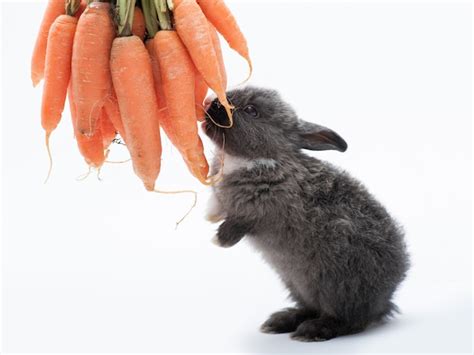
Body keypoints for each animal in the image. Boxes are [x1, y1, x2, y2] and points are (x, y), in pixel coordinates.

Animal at [202, 86, 410, 342]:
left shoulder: (260, 212)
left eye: (252, 110)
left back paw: (312, 330)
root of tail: (385, 300)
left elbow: (238, 224)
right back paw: (280, 321)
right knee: (311, 308)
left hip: (337, 288)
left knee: (349, 320)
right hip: (298, 286)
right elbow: (218, 206)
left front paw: (219, 239)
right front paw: (210, 217)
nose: (211, 104)